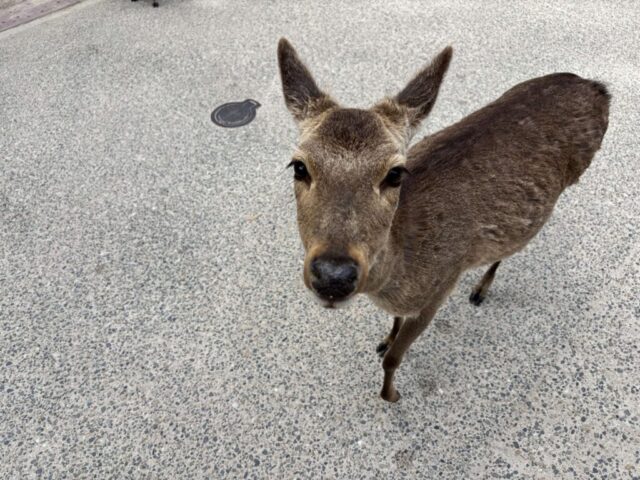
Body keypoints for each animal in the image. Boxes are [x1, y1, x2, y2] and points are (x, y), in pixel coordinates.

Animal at [277, 38, 610, 402]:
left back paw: (480, 290)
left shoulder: (440, 287)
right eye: (299, 166)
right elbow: (393, 328)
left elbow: (394, 359)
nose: (333, 276)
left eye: (395, 173)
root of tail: (597, 87)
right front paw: (385, 340)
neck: (397, 279)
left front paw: (391, 394)